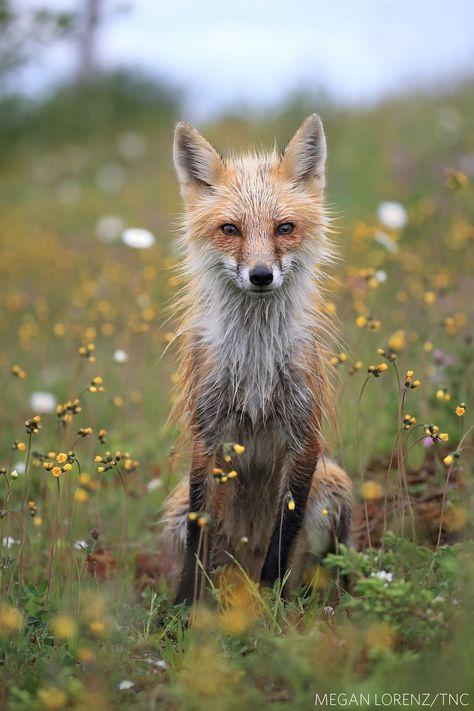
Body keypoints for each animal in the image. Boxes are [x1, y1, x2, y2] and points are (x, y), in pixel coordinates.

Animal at [163, 114, 352, 604]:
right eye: (231, 229)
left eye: (284, 228)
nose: (261, 275)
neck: (255, 366)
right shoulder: (207, 436)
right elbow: (198, 534)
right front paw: (184, 608)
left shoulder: (304, 437)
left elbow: (283, 537)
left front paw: (270, 604)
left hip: (334, 486)